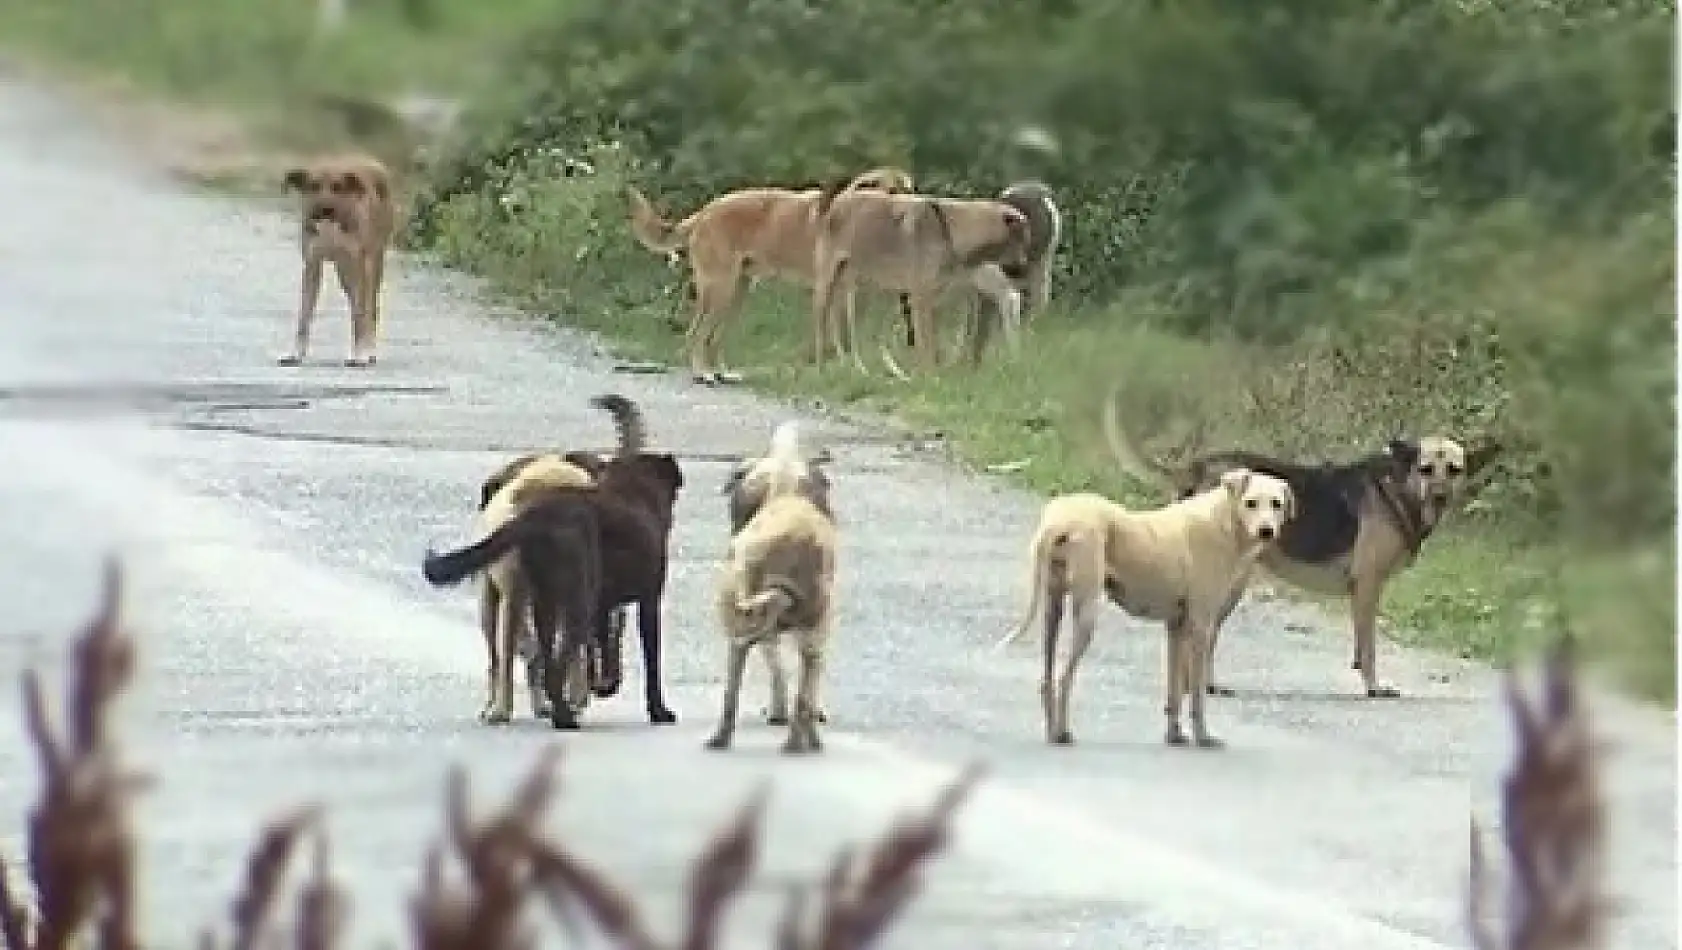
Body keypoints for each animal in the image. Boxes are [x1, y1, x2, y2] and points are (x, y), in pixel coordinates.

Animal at [285, 152, 400, 366]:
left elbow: (360, 313)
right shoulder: (312, 264)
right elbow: (304, 314)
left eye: (337, 187)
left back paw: (370, 350)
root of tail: (373, 162)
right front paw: (296, 354)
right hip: (344, 272)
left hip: (372, 264)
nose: (325, 209)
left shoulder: (359, 265)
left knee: (370, 308)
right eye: (313, 186)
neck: (330, 226)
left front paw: (359, 354)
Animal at [420, 393, 682, 726]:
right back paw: (554, 710)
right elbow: (648, 660)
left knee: (537, 654)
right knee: (542, 656)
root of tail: (535, 505)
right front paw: (656, 709)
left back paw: (544, 705)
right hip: (554, 601)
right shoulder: (645, 600)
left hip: (529, 602)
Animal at [810, 185, 1029, 374]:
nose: (1024, 267)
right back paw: (823, 369)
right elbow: (926, 344)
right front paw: (930, 378)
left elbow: (931, 343)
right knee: (822, 329)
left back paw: (857, 369)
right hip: (828, 286)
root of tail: (837, 201)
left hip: (857, 289)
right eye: (1022, 241)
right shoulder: (920, 298)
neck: (949, 229)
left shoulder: (932, 301)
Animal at [995, 467, 1298, 749]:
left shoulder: (1176, 628)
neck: (1222, 520)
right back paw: (1061, 733)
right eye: (1250, 503)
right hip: (1086, 615)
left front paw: (1174, 735)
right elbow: (1196, 693)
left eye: (1276, 504)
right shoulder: (1201, 627)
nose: (1266, 531)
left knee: (1046, 679)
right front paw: (1202, 736)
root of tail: (1061, 520)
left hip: (1052, 610)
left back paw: (1052, 731)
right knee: (1063, 678)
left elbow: (1174, 690)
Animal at [1103, 388, 1500, 699]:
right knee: (1204, 634)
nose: (1440, 497)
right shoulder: (1368, 586)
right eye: (1425, 468)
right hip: (1228, 582)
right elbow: (1369, 647)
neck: (1398, 487)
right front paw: (1374, 687)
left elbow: (1361, 647)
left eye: (1454, 469)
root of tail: (1196, 466)